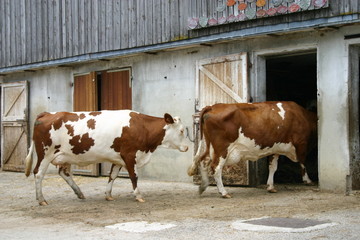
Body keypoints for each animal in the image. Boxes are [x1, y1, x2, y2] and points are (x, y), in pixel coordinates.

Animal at [25, 109, 188, 205]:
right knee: (38, 174)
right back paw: (41, 199)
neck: (142, 127)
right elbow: (134, 177)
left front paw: (108, 194)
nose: (186, 147)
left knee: (63, 173)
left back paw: (79, 193)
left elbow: (112, 176)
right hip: (45, 154)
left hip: (64, 156)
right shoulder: (130, 155)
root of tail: (47, 113)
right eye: (181, 131)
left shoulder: (118, 158)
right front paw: (138, 195)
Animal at [187, 101, 316, 197]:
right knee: (216, 167)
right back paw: (223, 192)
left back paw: (203, 186)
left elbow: (273, 167)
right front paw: (308, 180)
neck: (304, 116)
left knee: (203, 161)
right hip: (222, 148)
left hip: (208, 145)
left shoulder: (275, 148)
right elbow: (303, 163)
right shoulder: (302, 143)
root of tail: (212, 106)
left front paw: (270, 186)